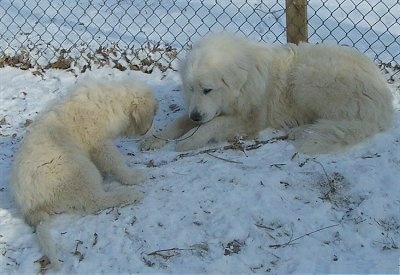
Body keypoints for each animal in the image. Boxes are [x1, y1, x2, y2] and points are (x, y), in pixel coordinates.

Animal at [10, 78, 157, 270]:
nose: (153, 133)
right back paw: (129, 194)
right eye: (153, 116)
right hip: (79, 170)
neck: (110, 103)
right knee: (95, 201)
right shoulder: (99, 143)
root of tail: (29, 208)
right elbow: (115, 162)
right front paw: (133, 176)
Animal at [141, 32, 394, 155]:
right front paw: (155, 139)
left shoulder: (248, 118)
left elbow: (209, 126)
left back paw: (302, 131)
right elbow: (178, 122)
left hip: (306, 78)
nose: (195, 116)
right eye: (190, 89)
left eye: (208, 89)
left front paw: (188, 140)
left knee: (337, 120)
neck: (244, 83)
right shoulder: (207, 110)